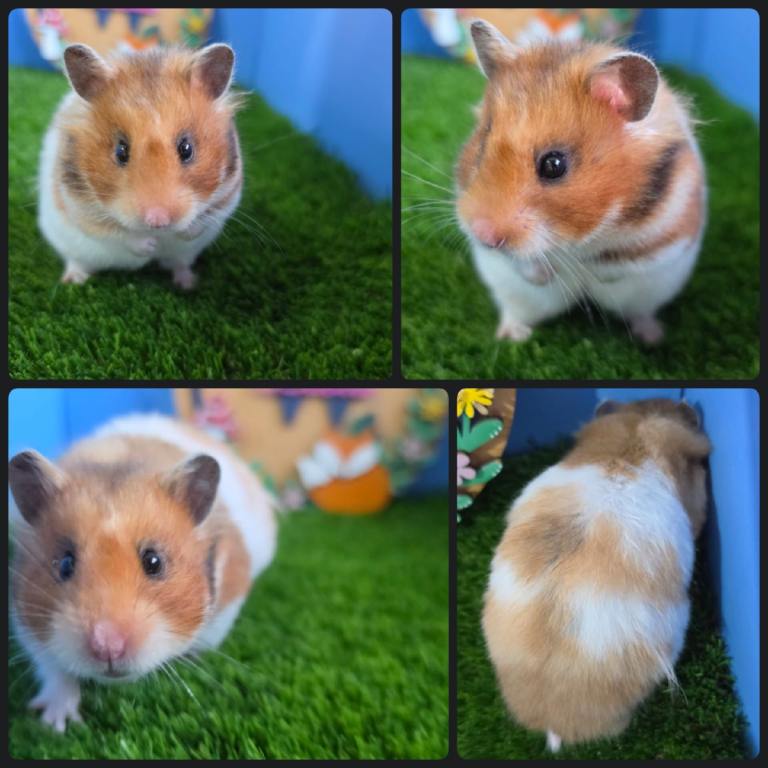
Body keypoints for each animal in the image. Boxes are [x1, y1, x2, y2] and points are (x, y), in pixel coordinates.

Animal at [8, 413, 276, 731]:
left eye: (154, 562)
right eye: (64, 564)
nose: (107, 648)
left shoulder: (230, 592)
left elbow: (208, 637)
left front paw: (191, 657)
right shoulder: (25, 619)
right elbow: (52, 668)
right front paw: (56, 725)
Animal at [38, 43, 244, 289]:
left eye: (186, 149)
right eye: (121, 151)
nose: (158, 220)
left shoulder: (227, 196)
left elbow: (199, 224)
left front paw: (176, 235)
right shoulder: (79, 207)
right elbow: (118, 233)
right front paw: (150, 246)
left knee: (179, 264)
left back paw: (188, 284)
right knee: (76, 261)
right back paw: (72, 281)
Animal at [456, 21, 706, 344]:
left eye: (554, 165)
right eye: (483, 142)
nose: (482, 235)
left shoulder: (665, 234)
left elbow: (616, 261)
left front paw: (592, 275)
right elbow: (522, 262)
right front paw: (547, 273)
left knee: (640, 312)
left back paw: (652, 338)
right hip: (517, 295)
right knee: (516, 311)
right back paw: (510, 335)